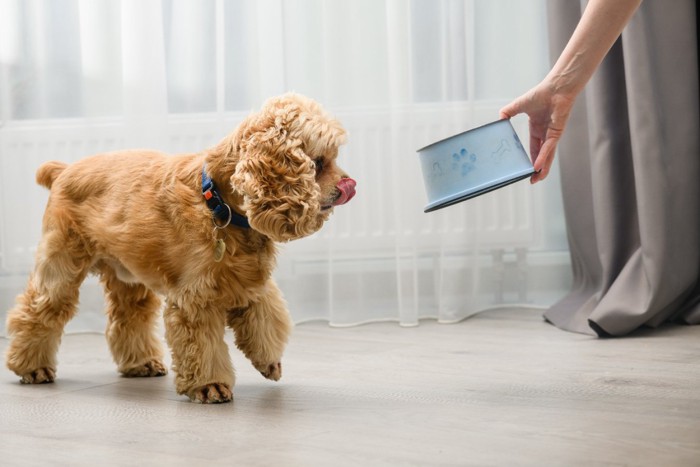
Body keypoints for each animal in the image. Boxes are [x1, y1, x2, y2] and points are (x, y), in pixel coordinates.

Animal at [2, 93, 356, 404]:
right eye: (318, 163)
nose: (349, 186)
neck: (219, 205)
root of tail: (63, 170)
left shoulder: (251, 283)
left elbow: (267, 319)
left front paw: (270, 362)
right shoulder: (196, 299)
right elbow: (203, 346)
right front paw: (209, 386)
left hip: (128, 275)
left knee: (129, 315)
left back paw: (140, 363)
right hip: (61, 263)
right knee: (38, 309)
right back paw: (31, 367)